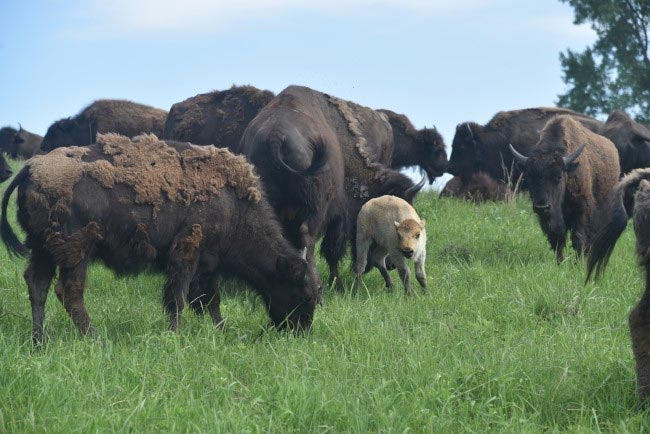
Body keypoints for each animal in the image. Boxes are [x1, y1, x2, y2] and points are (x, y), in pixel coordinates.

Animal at [0, 133, 318, 344]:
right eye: (302, 293)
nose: (300, 333)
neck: (234, 204)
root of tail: (32, 167)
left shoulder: (208, 262)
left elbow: (210, 300)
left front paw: (221, 331)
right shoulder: (187, 251)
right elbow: (178, 297)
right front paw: (175, 335)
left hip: (43, 249)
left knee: (37, 285)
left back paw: (39, 341)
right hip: (77, 250)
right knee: (69, 291)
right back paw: (96, 338)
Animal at [237, 85, 424, 292]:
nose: (392, 262)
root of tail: (275, 137)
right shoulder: (339, 216)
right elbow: (332, 251)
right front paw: (337, 284)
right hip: (316, 209)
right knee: (308, 238)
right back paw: (316, 284)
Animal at [510, 115, 620, 262]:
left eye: (558, 176)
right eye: (528, 177)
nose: (542, 207)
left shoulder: (581, 210)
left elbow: (578, 238)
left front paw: (578, 263)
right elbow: (557, 239)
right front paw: (560, 262)